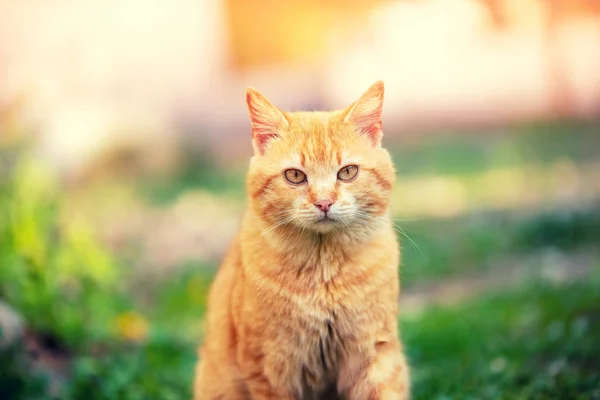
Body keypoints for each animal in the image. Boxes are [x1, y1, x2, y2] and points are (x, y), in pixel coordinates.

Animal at [195, 82, 410, 400]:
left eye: (348, 172)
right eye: (295, 176)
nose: (324, 202)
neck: (323, 272)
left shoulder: (375, 351)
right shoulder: (268, 364)